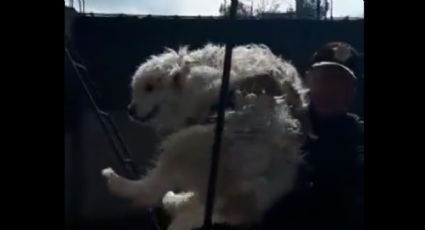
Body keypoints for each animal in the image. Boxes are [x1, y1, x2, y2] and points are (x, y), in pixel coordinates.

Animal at [101, 43, 310, 230]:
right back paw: (172, 201)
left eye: (150, 88)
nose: (130, 110)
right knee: (190, 204)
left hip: (193, 143)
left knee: (153, 188)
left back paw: (117, 182)